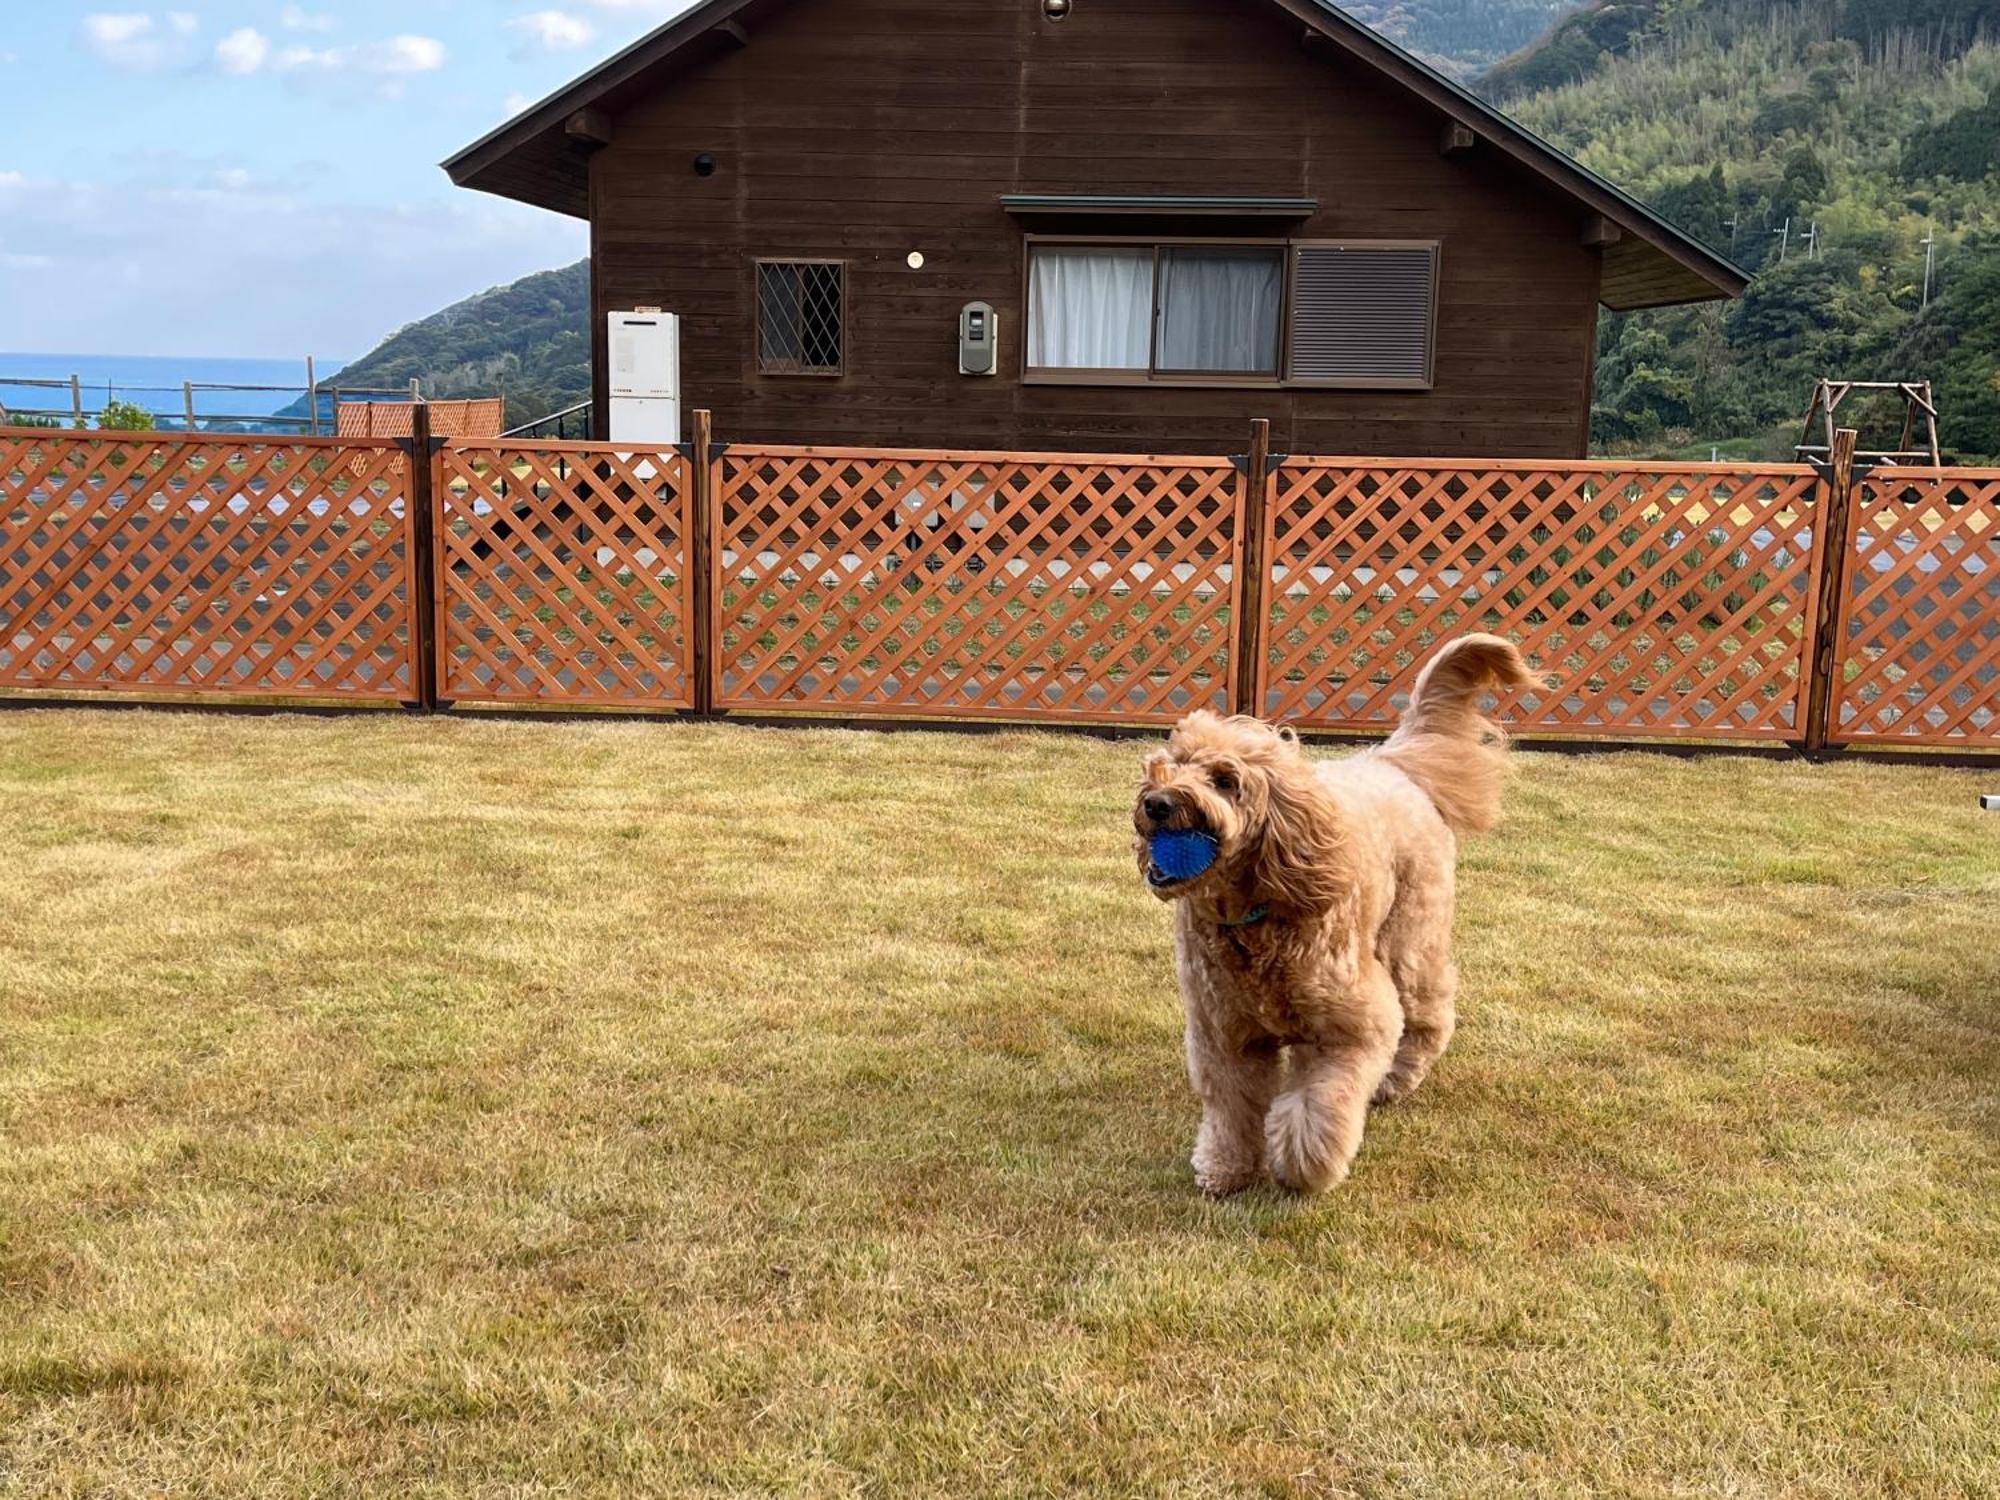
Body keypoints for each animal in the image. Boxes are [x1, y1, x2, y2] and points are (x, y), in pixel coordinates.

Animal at [1136, 636, 1536, 1200]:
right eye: (1171, 763)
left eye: (1225, 780)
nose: (1156, 803)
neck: (1254, 920)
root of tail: (1389, 759)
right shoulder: (1223, 1033)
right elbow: (1232, 1107)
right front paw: (1226, 1169)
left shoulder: (1350, 1026)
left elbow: (1318, 1104)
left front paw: (1303, 1166)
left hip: (1409, 938)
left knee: (1429, 1015)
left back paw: (1395, 1081)